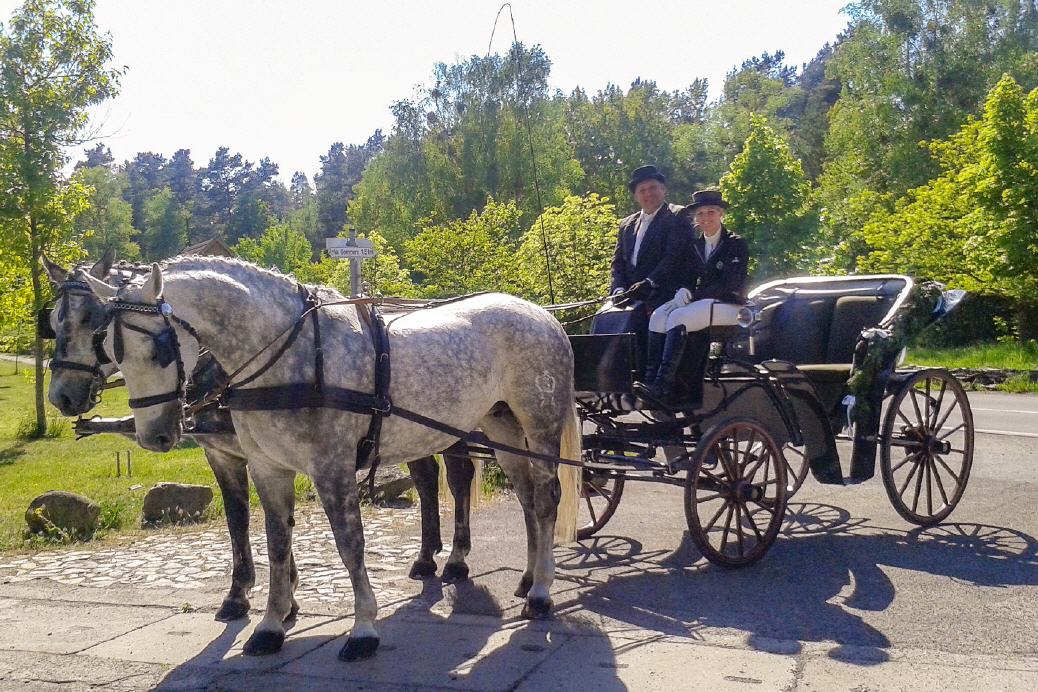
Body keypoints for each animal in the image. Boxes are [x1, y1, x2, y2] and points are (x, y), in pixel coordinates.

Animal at [84, 257, 581, 663]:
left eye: (161, 350)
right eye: (111, 350)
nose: (155, 435)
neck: (294, 354)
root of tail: (542, 315)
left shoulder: (332, 467)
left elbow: (349, 544)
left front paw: (363, 630)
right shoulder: (267, 468)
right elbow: (277, 544)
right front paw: (271, 625)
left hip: (538, 426)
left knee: (546, 498)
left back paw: (540, 593)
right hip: (501, 427)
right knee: (527, 499)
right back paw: (528, 578)